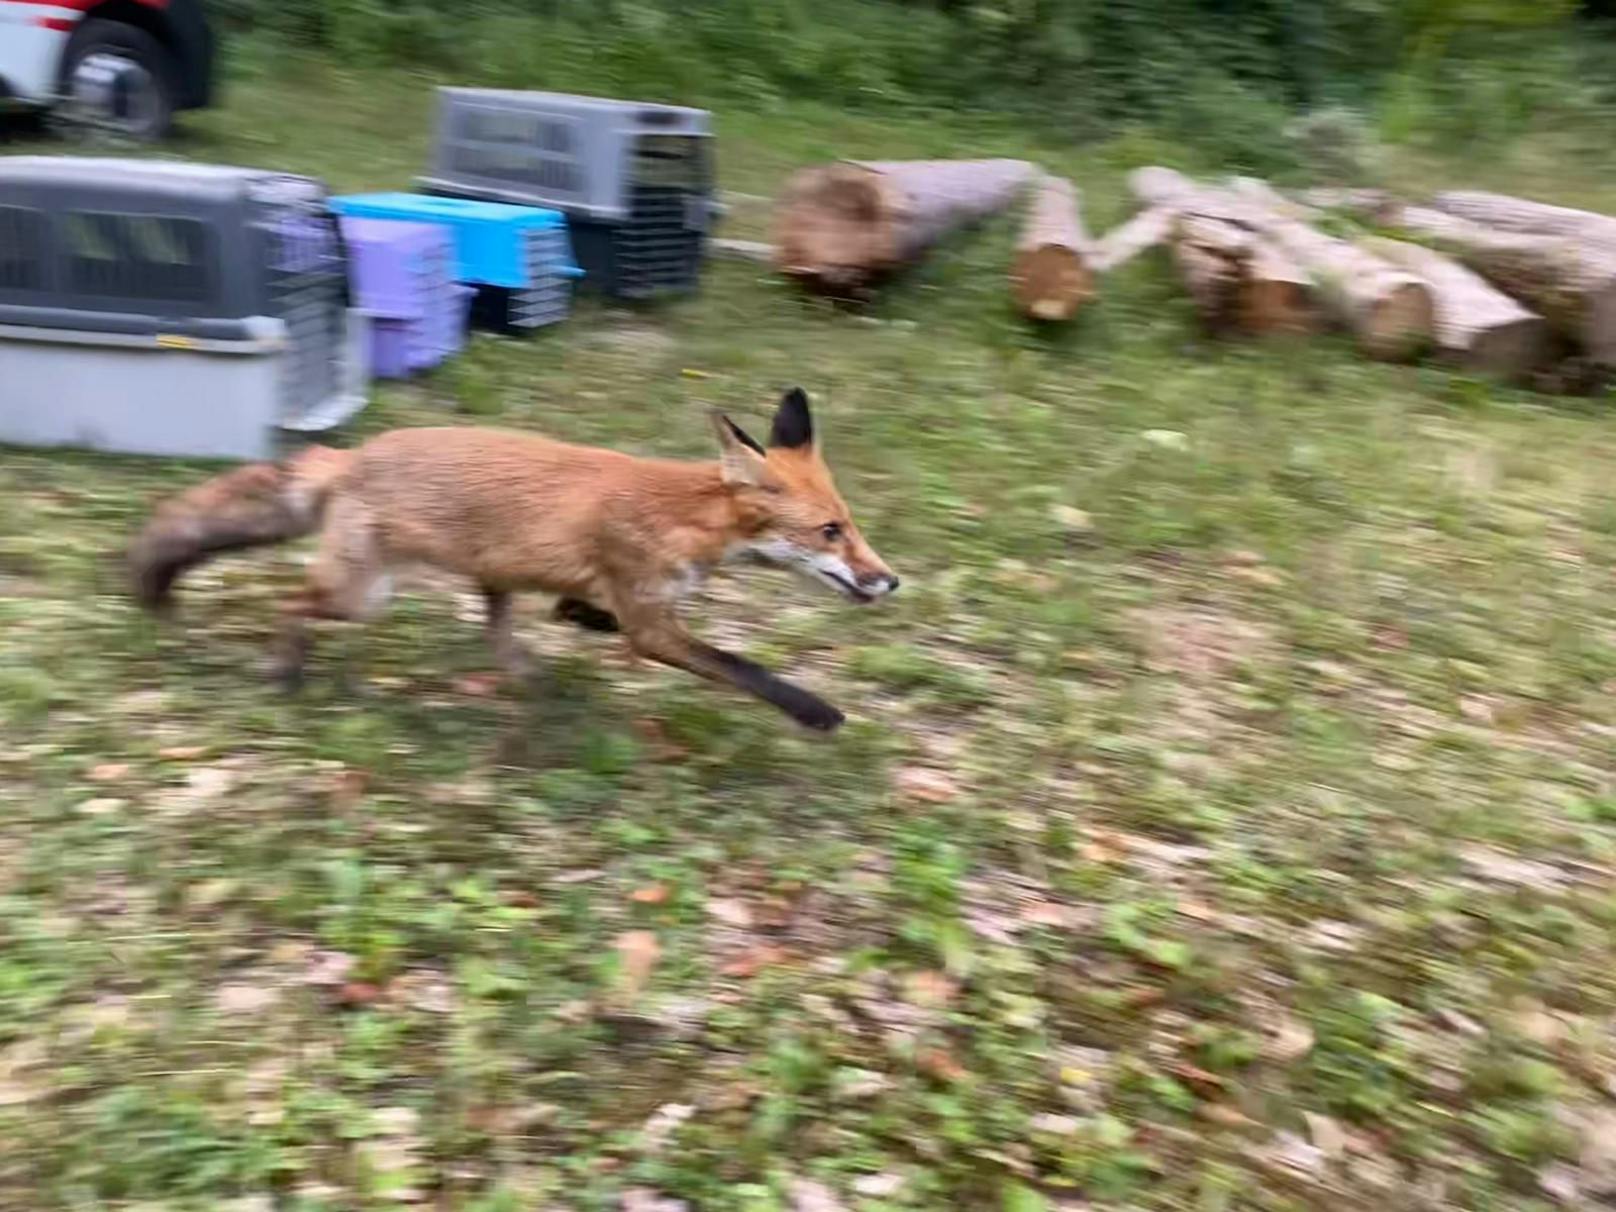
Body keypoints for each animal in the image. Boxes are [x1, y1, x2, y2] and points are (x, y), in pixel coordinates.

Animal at [129, 389, 898, 730]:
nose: (890, 580)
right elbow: (742, 666)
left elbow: (584, 610)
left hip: (484, 577)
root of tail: (350, 456)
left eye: (852, 525)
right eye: (831, 531)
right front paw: (814, 711)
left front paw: (579, 619)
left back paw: (533, 683)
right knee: (291, 603)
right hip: (362, 597)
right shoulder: (653, 624)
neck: (684, 517)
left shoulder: (630, 601)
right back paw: (284, 671)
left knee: (498, 638)